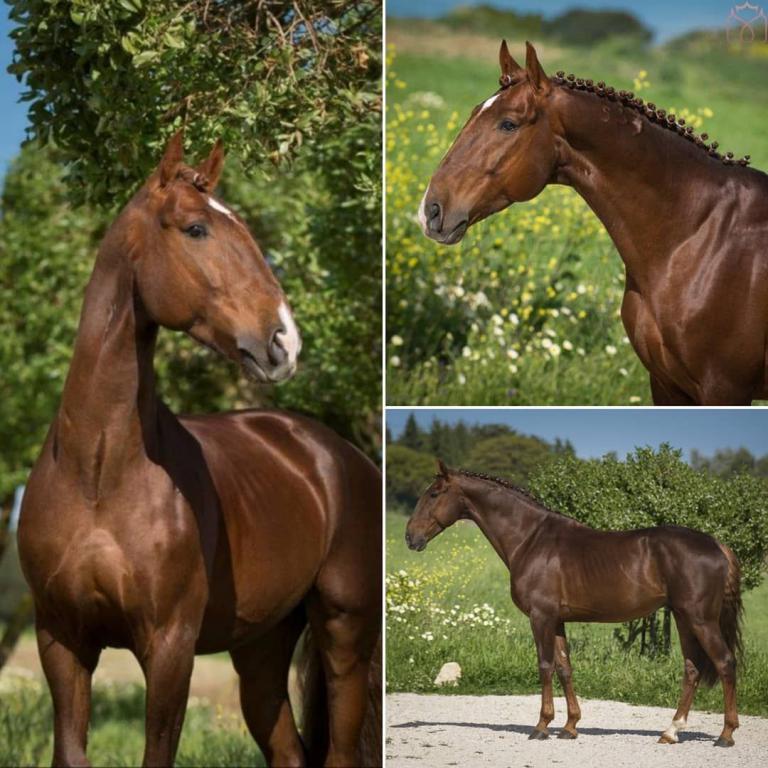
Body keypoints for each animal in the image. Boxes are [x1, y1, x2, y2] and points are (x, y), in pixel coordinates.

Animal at [17, 132, 381, 768]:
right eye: (195, 229)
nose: (284, 341)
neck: (97, 473)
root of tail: (340, 457)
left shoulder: (169, 645)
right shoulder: (61, 639)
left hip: (344, 632)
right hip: (261, 648)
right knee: (288, 750)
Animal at [405, 460, 743, 747]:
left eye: (434, 494)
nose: (410, 537)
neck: (531, 539)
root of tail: (717, 545)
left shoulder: (540, 617)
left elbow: (544, 666)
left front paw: (541, 726)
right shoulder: (556, 620)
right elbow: (564, 668)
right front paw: (569, 727)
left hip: (700, 620)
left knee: (725, 663)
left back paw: (726, 734)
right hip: (684, 619)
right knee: (692, 670)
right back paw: (671, 731)